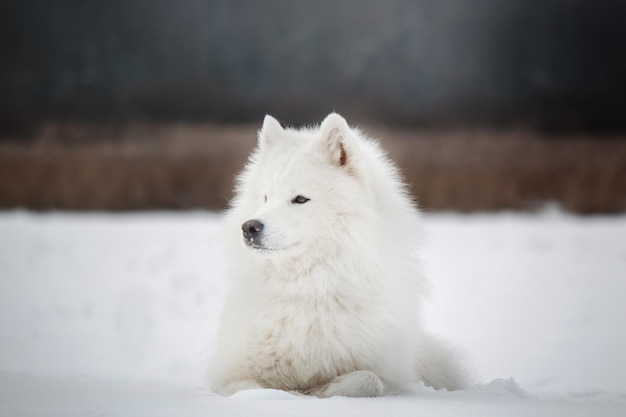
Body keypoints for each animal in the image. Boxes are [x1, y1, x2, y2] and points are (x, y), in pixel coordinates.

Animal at [211, 113, 468, 396]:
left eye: (300, 199)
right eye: (266, 197)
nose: (249, 227)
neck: (310, 286)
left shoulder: (386, 374)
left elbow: (369, 380)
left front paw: (323, 390)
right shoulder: (231, 375)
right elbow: (262, 389)